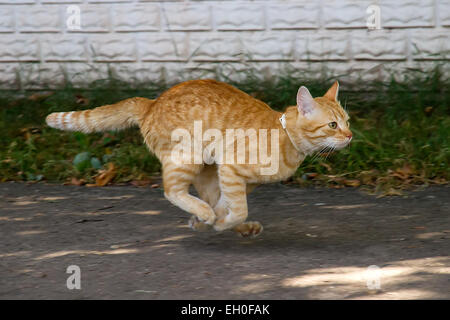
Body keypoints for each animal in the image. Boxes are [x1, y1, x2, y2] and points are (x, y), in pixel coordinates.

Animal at [46, 79, 352, 236]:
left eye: (347, 121)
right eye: (332, 125)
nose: (350, 136)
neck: (285, 136)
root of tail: (152, 102)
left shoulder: (235, 180)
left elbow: (227, 205)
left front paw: (216, 222)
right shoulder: (230, 169)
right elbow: (236, 209)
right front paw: (219, 222)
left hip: (206, 169)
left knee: (205, 197)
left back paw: (218, 222)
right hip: (188, 157)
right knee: (172, 190)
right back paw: (206, 216)